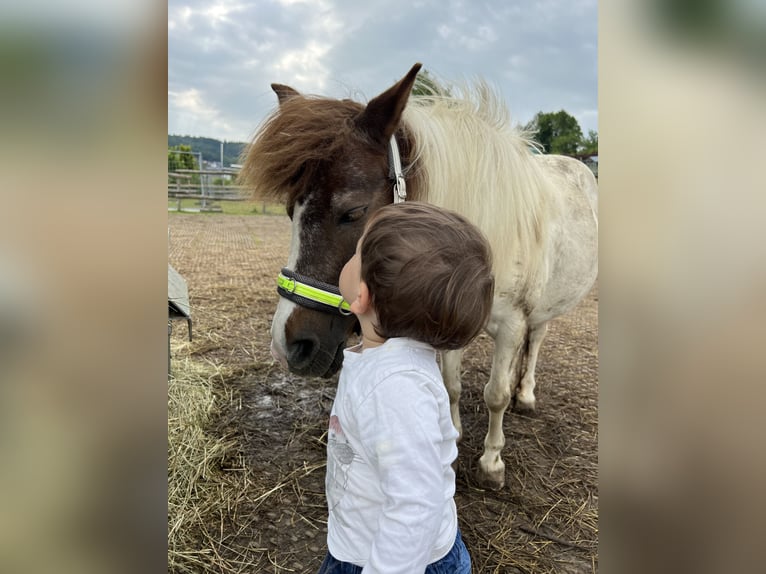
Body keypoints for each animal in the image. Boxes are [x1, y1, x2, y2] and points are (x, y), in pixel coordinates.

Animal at [240, 63, 598, 489]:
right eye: (288, 211)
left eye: (353, 211)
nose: (288, 346)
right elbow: (451, 385)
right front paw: (454, 437)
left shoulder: (512, 323)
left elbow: (494, 393)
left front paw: (491, 462)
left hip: (544, 308)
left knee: (537, 339)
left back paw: (524, 395)